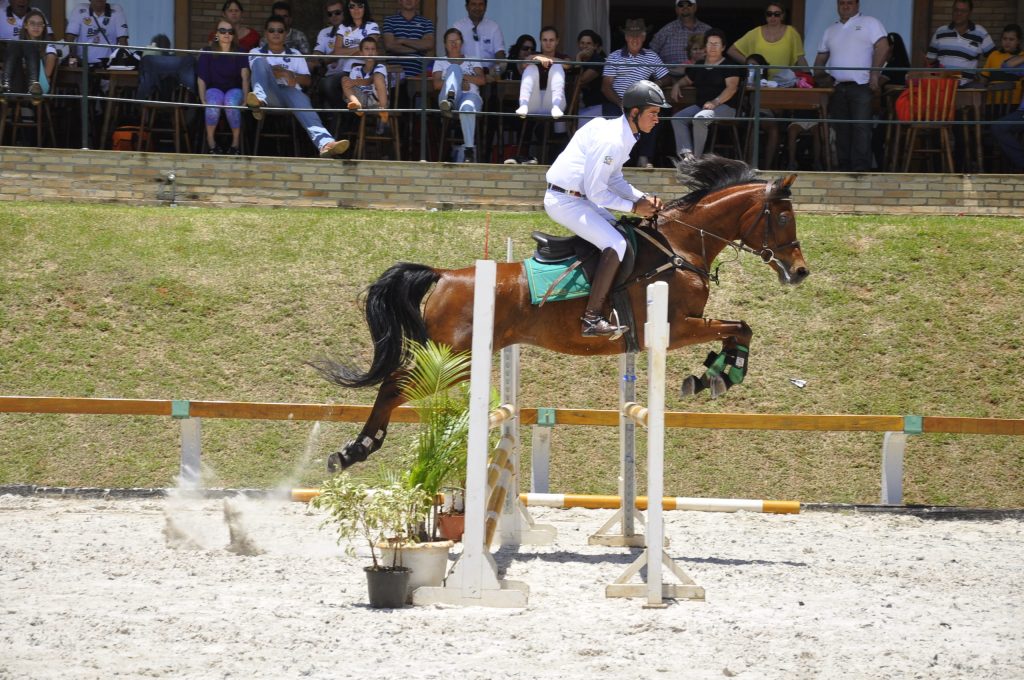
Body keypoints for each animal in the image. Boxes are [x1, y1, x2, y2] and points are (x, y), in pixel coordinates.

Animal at [311, 155, 806, 471]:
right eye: (783, 219)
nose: (799, 272)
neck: (680, 247)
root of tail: (445, 275)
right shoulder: (674, 327)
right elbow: (740, 327)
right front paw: (718, 376)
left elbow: (738, 329)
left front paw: (713, 374)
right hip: (454, 360)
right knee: (394, 385)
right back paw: (355, 450)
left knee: (395, 385)